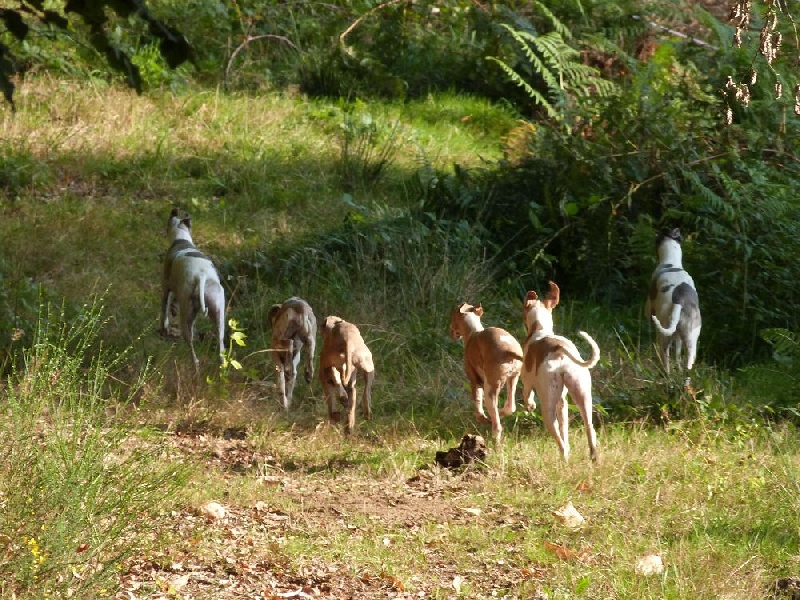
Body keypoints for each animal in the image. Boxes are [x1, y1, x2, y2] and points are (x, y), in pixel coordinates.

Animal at [160, 209, 225, 368]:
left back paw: (194, 365)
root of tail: (201, 276)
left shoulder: (167, 288)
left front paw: (164, 327)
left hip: (186, 315)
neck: (181, 238)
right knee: (221, 346)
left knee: (191, 347)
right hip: (219, 316)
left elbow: (164, 310)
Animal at [446, 302, 520, 442]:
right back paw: (497, 415)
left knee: (497, 426)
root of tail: (508, 350)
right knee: (510, 407)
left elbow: (478, 411)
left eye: (452, 316)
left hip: (489, 388)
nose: (450, 330)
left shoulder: (475, 381)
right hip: (513, 379)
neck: (474, 332)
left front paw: (483, 419)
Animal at [520, 284, 600, 462]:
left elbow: (526, 393)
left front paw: (530, 405)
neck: (540, 329)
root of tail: (559, 351)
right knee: (589, 429)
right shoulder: (562, 403)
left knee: (561, 444)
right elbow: (565, 430)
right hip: (583, 395)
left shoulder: (526, 380)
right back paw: (593, 459)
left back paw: (564, 461)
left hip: (547, 410)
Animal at [648, 227, 704, 372]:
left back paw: (665, 371)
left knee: (665, 355)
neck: (671, 262)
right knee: (688, 358)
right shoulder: (678, 336)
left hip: (664, 334)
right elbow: (678, 352)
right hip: (690, 337)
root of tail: (681, 300)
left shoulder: (649, 305)